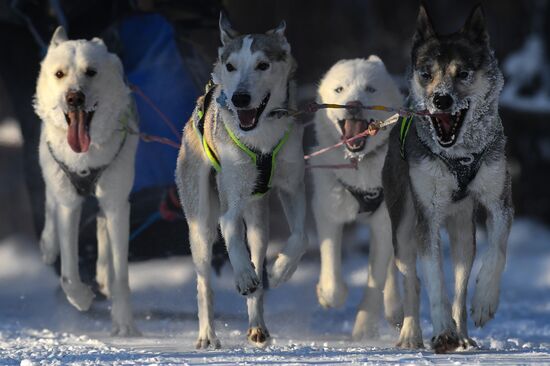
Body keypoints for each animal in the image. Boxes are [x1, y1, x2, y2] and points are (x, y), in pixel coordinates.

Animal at [34, 27, 140, 336]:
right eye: (59, 74)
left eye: (91, 72)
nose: (74, 97)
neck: (85, 161)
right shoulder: (69, 205)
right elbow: (68, 274)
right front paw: (81, 299)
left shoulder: (118, 204)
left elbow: (121, 275)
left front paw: (124, 323)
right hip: (52, 171)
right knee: (50, 201)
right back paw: (48, 245)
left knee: (103, 227)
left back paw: (103, 275)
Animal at [314, 57, 406, 340]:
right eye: (340, 89)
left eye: (370, 89)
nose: (353, 104)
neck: (360, 164)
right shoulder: (329, 213)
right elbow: (331, 273)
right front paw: (328, 295)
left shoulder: (384, 225)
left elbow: (375, 282)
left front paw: (364, 328)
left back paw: (395, 309)